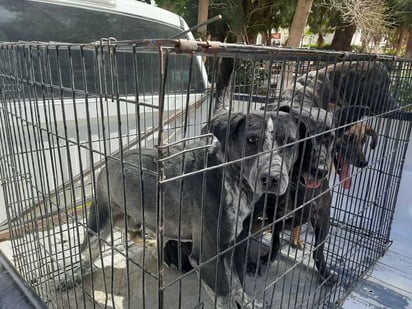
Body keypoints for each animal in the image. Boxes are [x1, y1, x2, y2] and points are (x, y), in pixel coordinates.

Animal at [0, 39, 410, 306]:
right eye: (252, 140)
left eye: (292, 142)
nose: (273, 178)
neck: (231, 183)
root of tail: (115, 153)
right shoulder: (208, 253)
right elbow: (227, 291)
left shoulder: (235, 245)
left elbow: (239, 284)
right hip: (99, 215)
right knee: (87, 251)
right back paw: (72, 275)